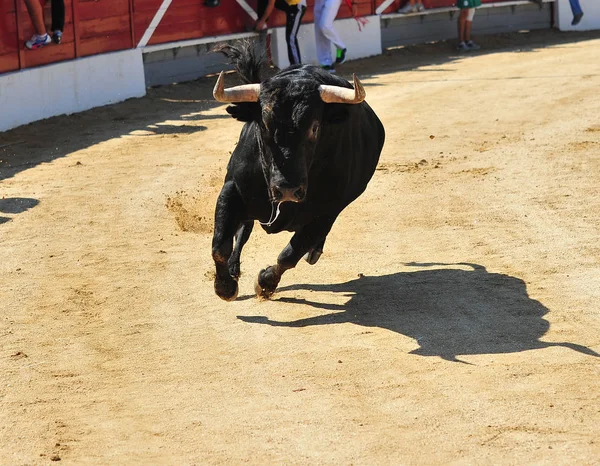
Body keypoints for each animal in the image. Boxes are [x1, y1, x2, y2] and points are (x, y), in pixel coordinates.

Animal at [211, 41, 384, 300]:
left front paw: (265, 282)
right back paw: (233, 268)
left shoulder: (328, 211)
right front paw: (225, 286)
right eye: (263, 124)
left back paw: (313, 252)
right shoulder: (232, 189)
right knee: (244, 229)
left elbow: (290, 254)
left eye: (315, 127)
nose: (287, 190)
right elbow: (220, 245)